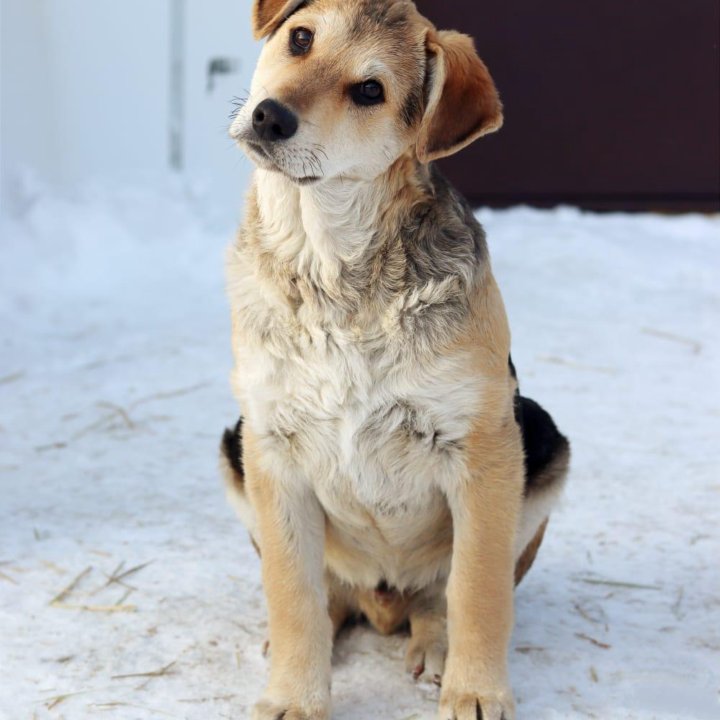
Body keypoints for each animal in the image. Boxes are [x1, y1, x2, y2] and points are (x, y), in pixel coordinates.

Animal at [219, 2, 568, 716]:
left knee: (438, 596)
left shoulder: (483, 447)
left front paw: (476, 691)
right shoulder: (270, 445)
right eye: (300, 38)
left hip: (545, 442)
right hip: (229, 449)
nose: (269, 116)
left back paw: (435, 648)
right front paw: (295, 695)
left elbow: (478, 589)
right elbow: (291, 590)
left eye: (369, 91)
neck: (331, 269)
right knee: (329, 594)